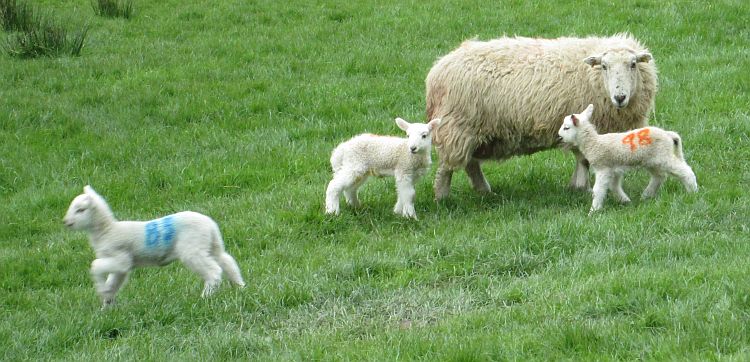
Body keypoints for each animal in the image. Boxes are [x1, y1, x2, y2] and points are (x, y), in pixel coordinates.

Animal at [64, 187, 247, 308]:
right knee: (227, 261)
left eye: (80, 210)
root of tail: (210, 224)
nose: (66, 222)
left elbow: (96, 266)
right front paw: (107, 302)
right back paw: (240, 287)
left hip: (192, 250)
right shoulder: (122, 267)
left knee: (214, 271)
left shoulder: (120, 258)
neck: (107, 230)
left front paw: (101, 289)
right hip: (211, 245)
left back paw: (205, 297)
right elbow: (114, 282)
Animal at [428, 34, 656, 201]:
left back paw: (484, 191)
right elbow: (583, 159)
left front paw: (576, 186)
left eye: (633, 64)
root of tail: (438, 69)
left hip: (472, 130)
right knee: (446, 168)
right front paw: (584, 188)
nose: (620, 97)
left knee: (470, 164)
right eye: (604, 66)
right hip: (457, 127)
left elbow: (581, 159)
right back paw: (442, 198)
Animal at [560, 103, 700, 214]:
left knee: (685, 171)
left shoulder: (603, 167)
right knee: (659, 176)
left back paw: (693, 191)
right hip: (652, 160)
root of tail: (668, 135)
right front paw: (625, 201)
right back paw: (646, 195)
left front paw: (593, 211)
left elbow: (598, 190)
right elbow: (614, 186)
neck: (593, 143)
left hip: (663, 157)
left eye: (566, 127)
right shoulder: (614, 169)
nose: (559, 136)